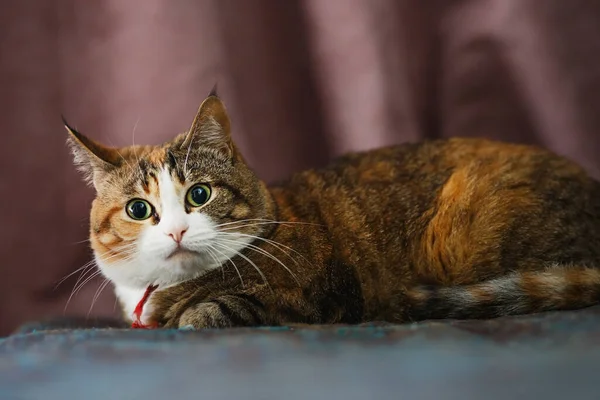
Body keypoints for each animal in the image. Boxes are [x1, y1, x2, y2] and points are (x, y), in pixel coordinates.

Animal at [67, 90, 600, 328]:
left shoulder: (320, 291)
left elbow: (217, 308)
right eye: (139, 209)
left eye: (199, 195)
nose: (177, 231)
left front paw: (192, 314)